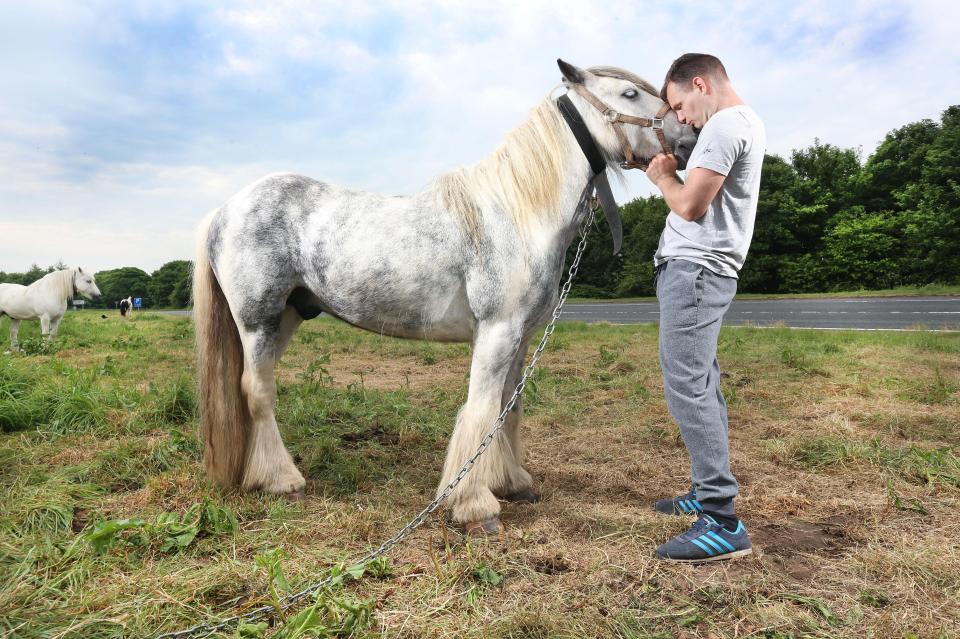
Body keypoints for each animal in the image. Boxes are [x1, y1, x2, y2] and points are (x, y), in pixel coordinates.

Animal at [191, 60, 696, 532]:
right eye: (629, 93)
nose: (689, 138)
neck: (519, 213)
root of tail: (223, 210)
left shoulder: (519, 338)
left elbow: (508, 411)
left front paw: (512, 484)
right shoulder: (496, 332)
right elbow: (482, 410)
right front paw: (474, 506)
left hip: (289, 316)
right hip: (258, 321)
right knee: (257, 392)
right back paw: (284, 481)